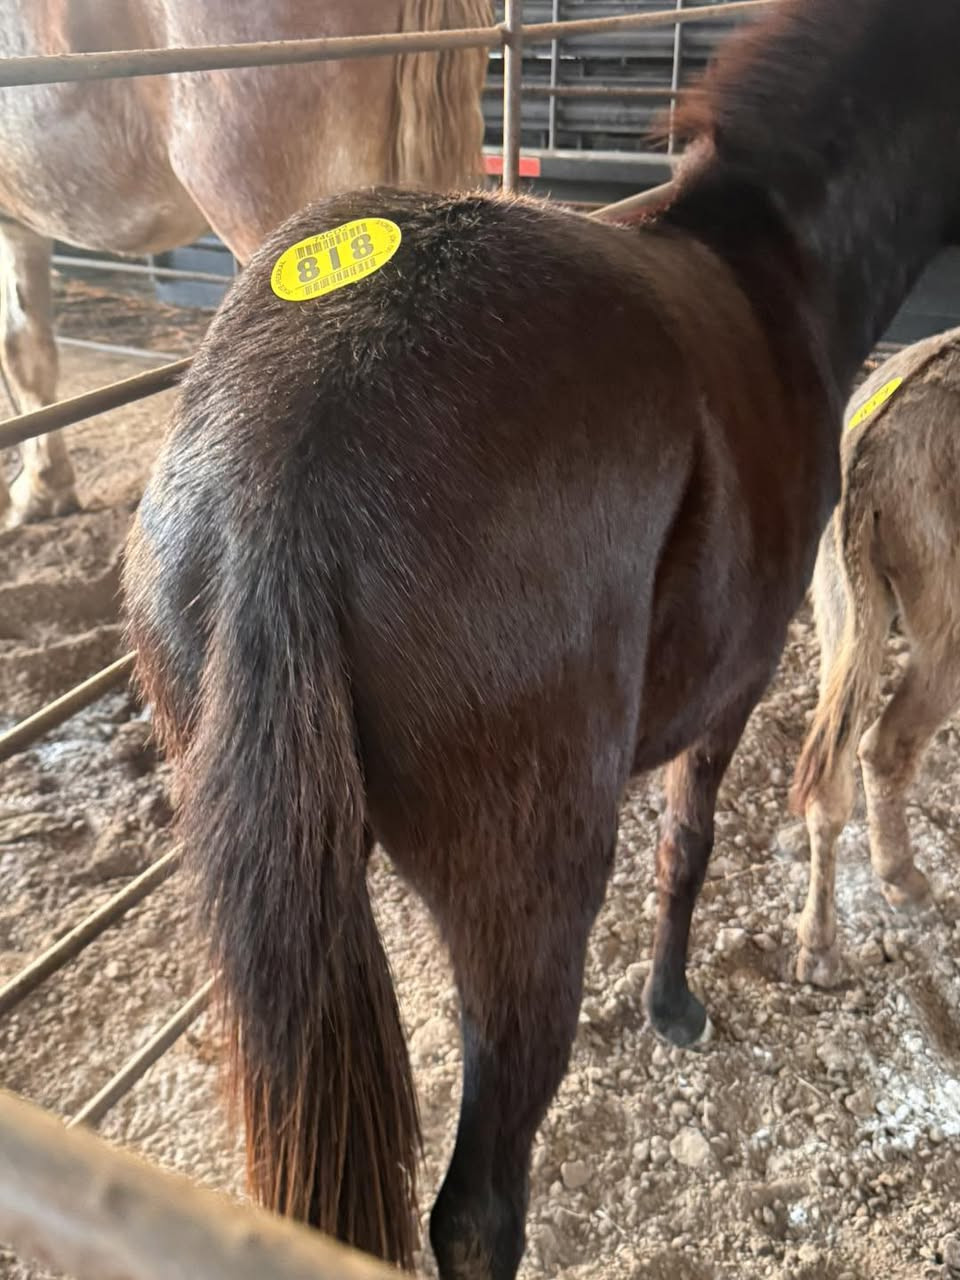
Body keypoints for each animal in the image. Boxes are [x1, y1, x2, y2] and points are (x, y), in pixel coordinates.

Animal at [791, 327, 960, 988]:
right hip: (946, 631)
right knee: (886, 746)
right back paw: (905, 883)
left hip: (845, 609)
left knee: (833, 773)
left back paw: (818, 948)